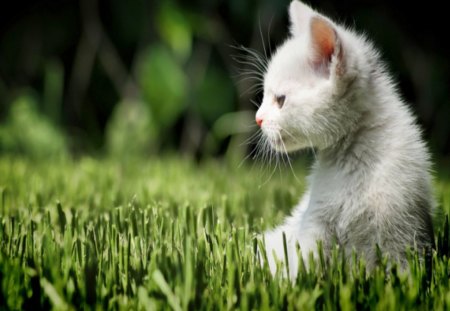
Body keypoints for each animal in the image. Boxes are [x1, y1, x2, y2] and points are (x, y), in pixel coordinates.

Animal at [255, 0, 434, 280]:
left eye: (280, 100)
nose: (257, 118)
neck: (352, 160)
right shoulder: (315, 223)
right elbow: (304, 264)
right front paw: (294, 284)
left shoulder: (403, 229)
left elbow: (404, 274)